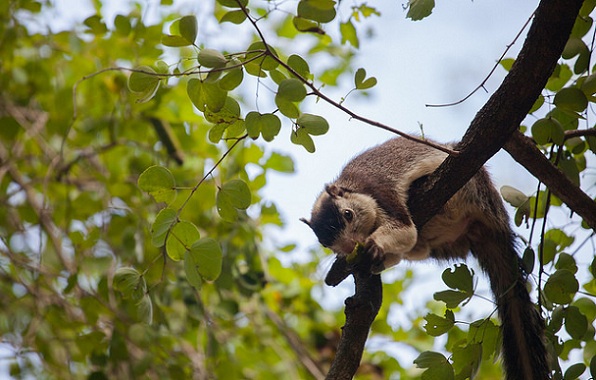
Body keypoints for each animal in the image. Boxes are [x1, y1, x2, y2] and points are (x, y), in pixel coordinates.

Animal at [302, 138, 548, 380]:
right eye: (326, 244)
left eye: (348, 214)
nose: (351, 246)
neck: (354, 185)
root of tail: (494, 226)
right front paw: (352, 266)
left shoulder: (381, 193)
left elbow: (405, 229)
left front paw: (374, 245)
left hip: (469, 190)